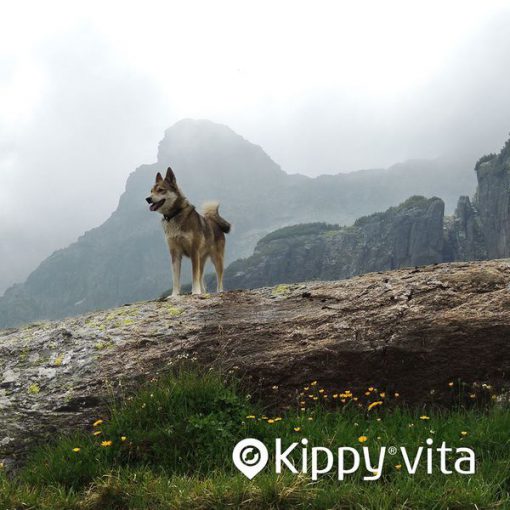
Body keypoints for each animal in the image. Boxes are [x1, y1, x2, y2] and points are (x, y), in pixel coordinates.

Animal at [144, 166, 230, 294]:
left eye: (161, 190)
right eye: (151, 191)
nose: (148, 199)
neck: (174, 215)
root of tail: (215, 223)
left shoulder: (194, 251)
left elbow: (194, 276)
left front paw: (195, 292)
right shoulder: (175, 253)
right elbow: (175, 278)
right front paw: (174, 294)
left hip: (217, 258)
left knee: (219, 278)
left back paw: (219, 291)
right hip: (201, 258)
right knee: (201, 276)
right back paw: (203, 292)